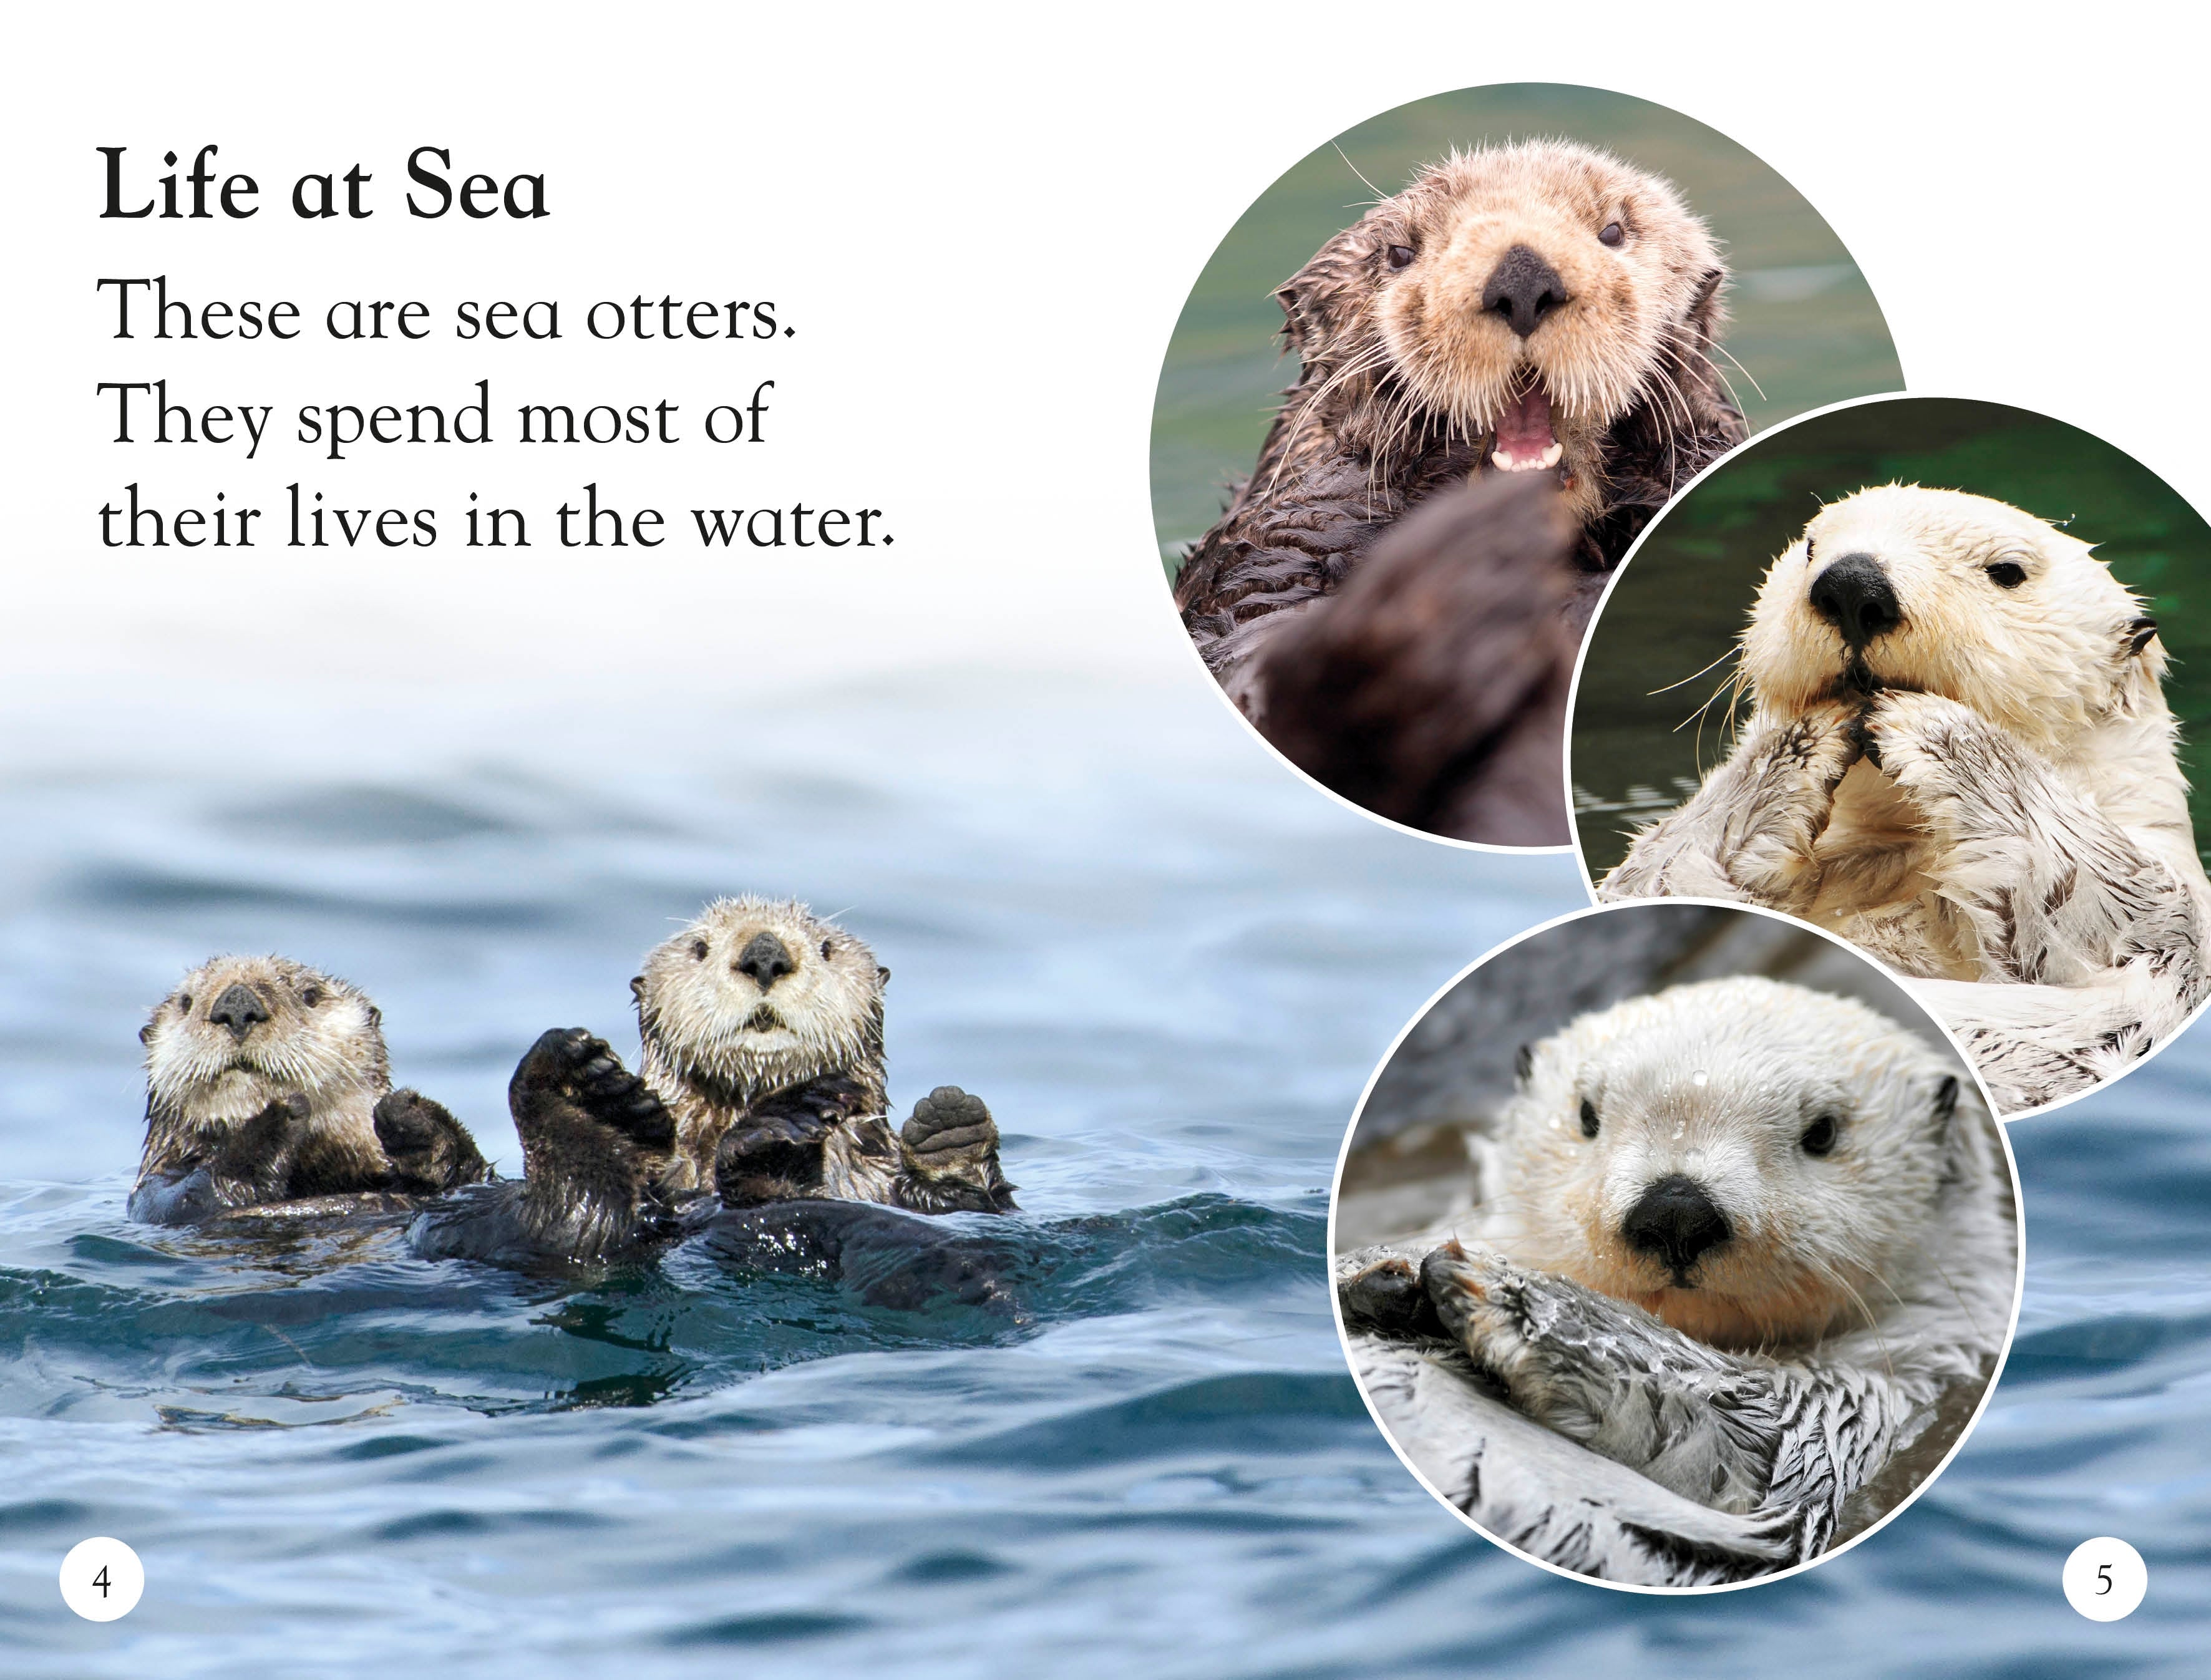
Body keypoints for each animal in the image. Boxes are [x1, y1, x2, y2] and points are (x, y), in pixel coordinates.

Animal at [129, 953, 490, 1224]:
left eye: (310, 995)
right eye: (186, 1002)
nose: (236, 1005)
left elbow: (473, 1174)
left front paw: (408, 1117)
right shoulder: (154, 1193)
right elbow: (189, 1197)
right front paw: (278, 1119)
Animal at [1338, 976, 2016, 1585]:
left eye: (1822, 1131)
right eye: (1586, 1114)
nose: (1675, 1211)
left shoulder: (1859, 1402)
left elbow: (1740, 1429)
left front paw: (1507, 1294)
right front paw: (1384, 1273)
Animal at [1597, 485, 2211, 1112]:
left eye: (2007, 571)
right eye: (1811, 545)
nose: (1852, 584)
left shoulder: (2169, 930)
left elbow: (2110, 897)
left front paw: (1932, 727)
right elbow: (1653, 877)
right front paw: (1801, 740)